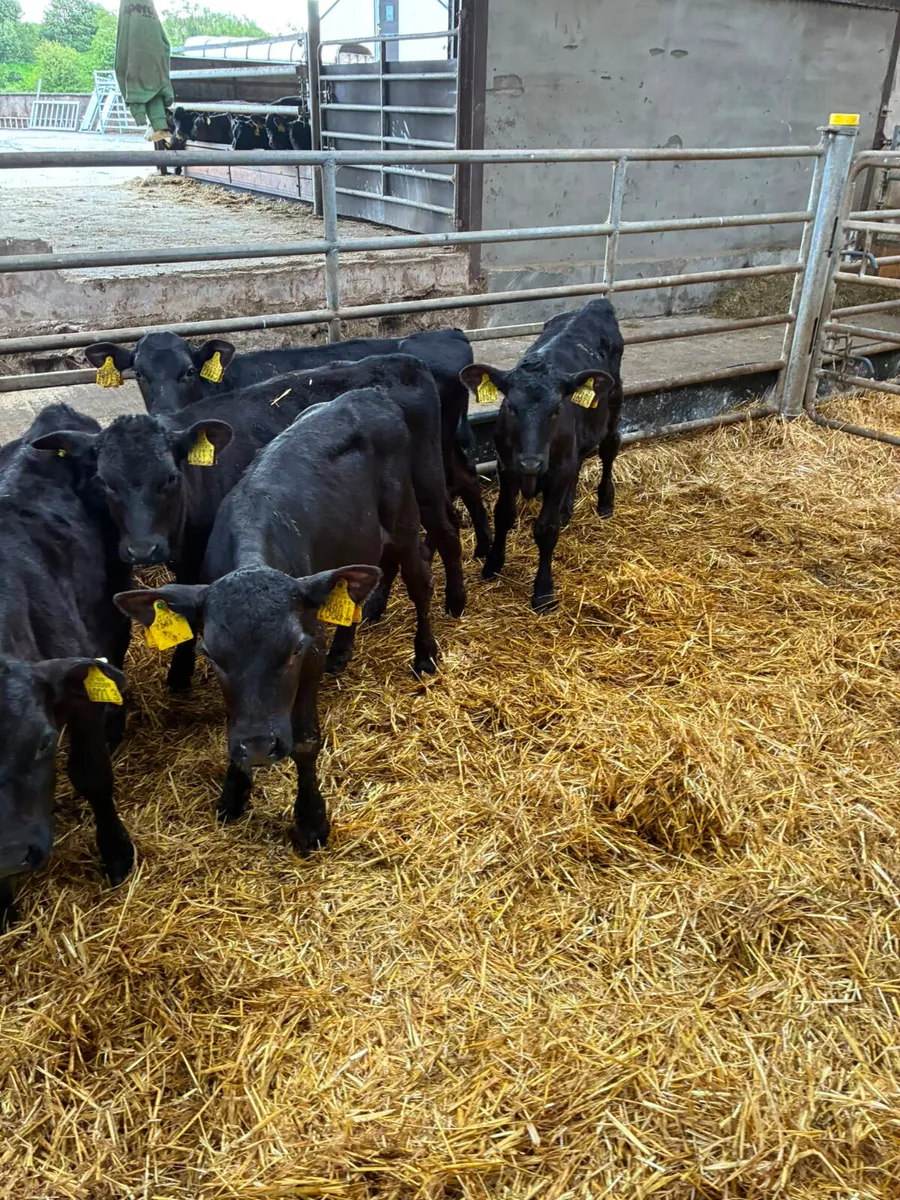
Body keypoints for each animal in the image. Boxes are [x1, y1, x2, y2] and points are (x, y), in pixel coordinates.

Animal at [115, 387, 443, 854]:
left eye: (293, 649)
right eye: (210, 655)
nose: (257, 746)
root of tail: (369, 393)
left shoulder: (311, 643)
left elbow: (305, 741)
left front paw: (311, 821)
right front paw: (234, 793)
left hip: (406, 520)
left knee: (420, 583)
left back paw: (425, 655)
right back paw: (344, 652)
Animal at [461, 299, 624, 612]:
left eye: (556, 409)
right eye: (510, 406)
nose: (531, 462)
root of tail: (595, 304)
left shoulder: (557, 470)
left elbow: (546, 529)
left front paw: (543, 591)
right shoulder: (507, 465)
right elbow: (503, 514)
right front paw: (492, 564)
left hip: (614, 403)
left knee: (609, 448)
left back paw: (605, 502)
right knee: (581, 458)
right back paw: (567, 509)